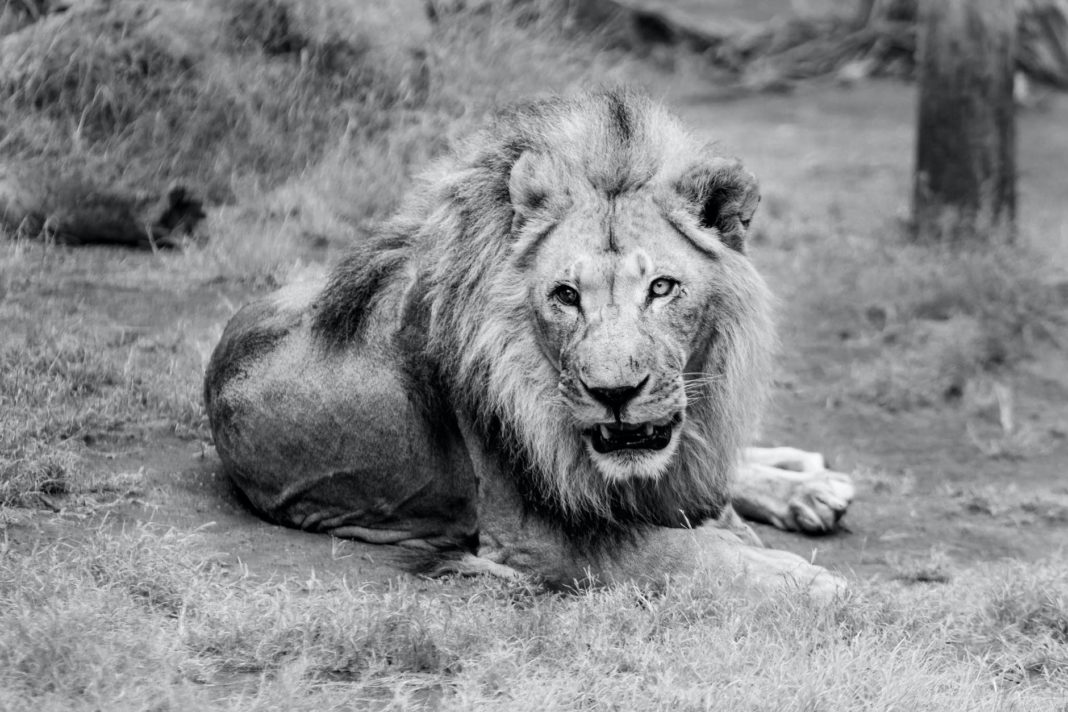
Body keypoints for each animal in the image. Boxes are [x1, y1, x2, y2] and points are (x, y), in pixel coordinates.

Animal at [204, 89, 854, 594]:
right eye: (565, 295)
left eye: (662, 287)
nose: (614, 394)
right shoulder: (530, 536)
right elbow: (682, 551)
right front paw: (806, 580)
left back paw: (809, 481)